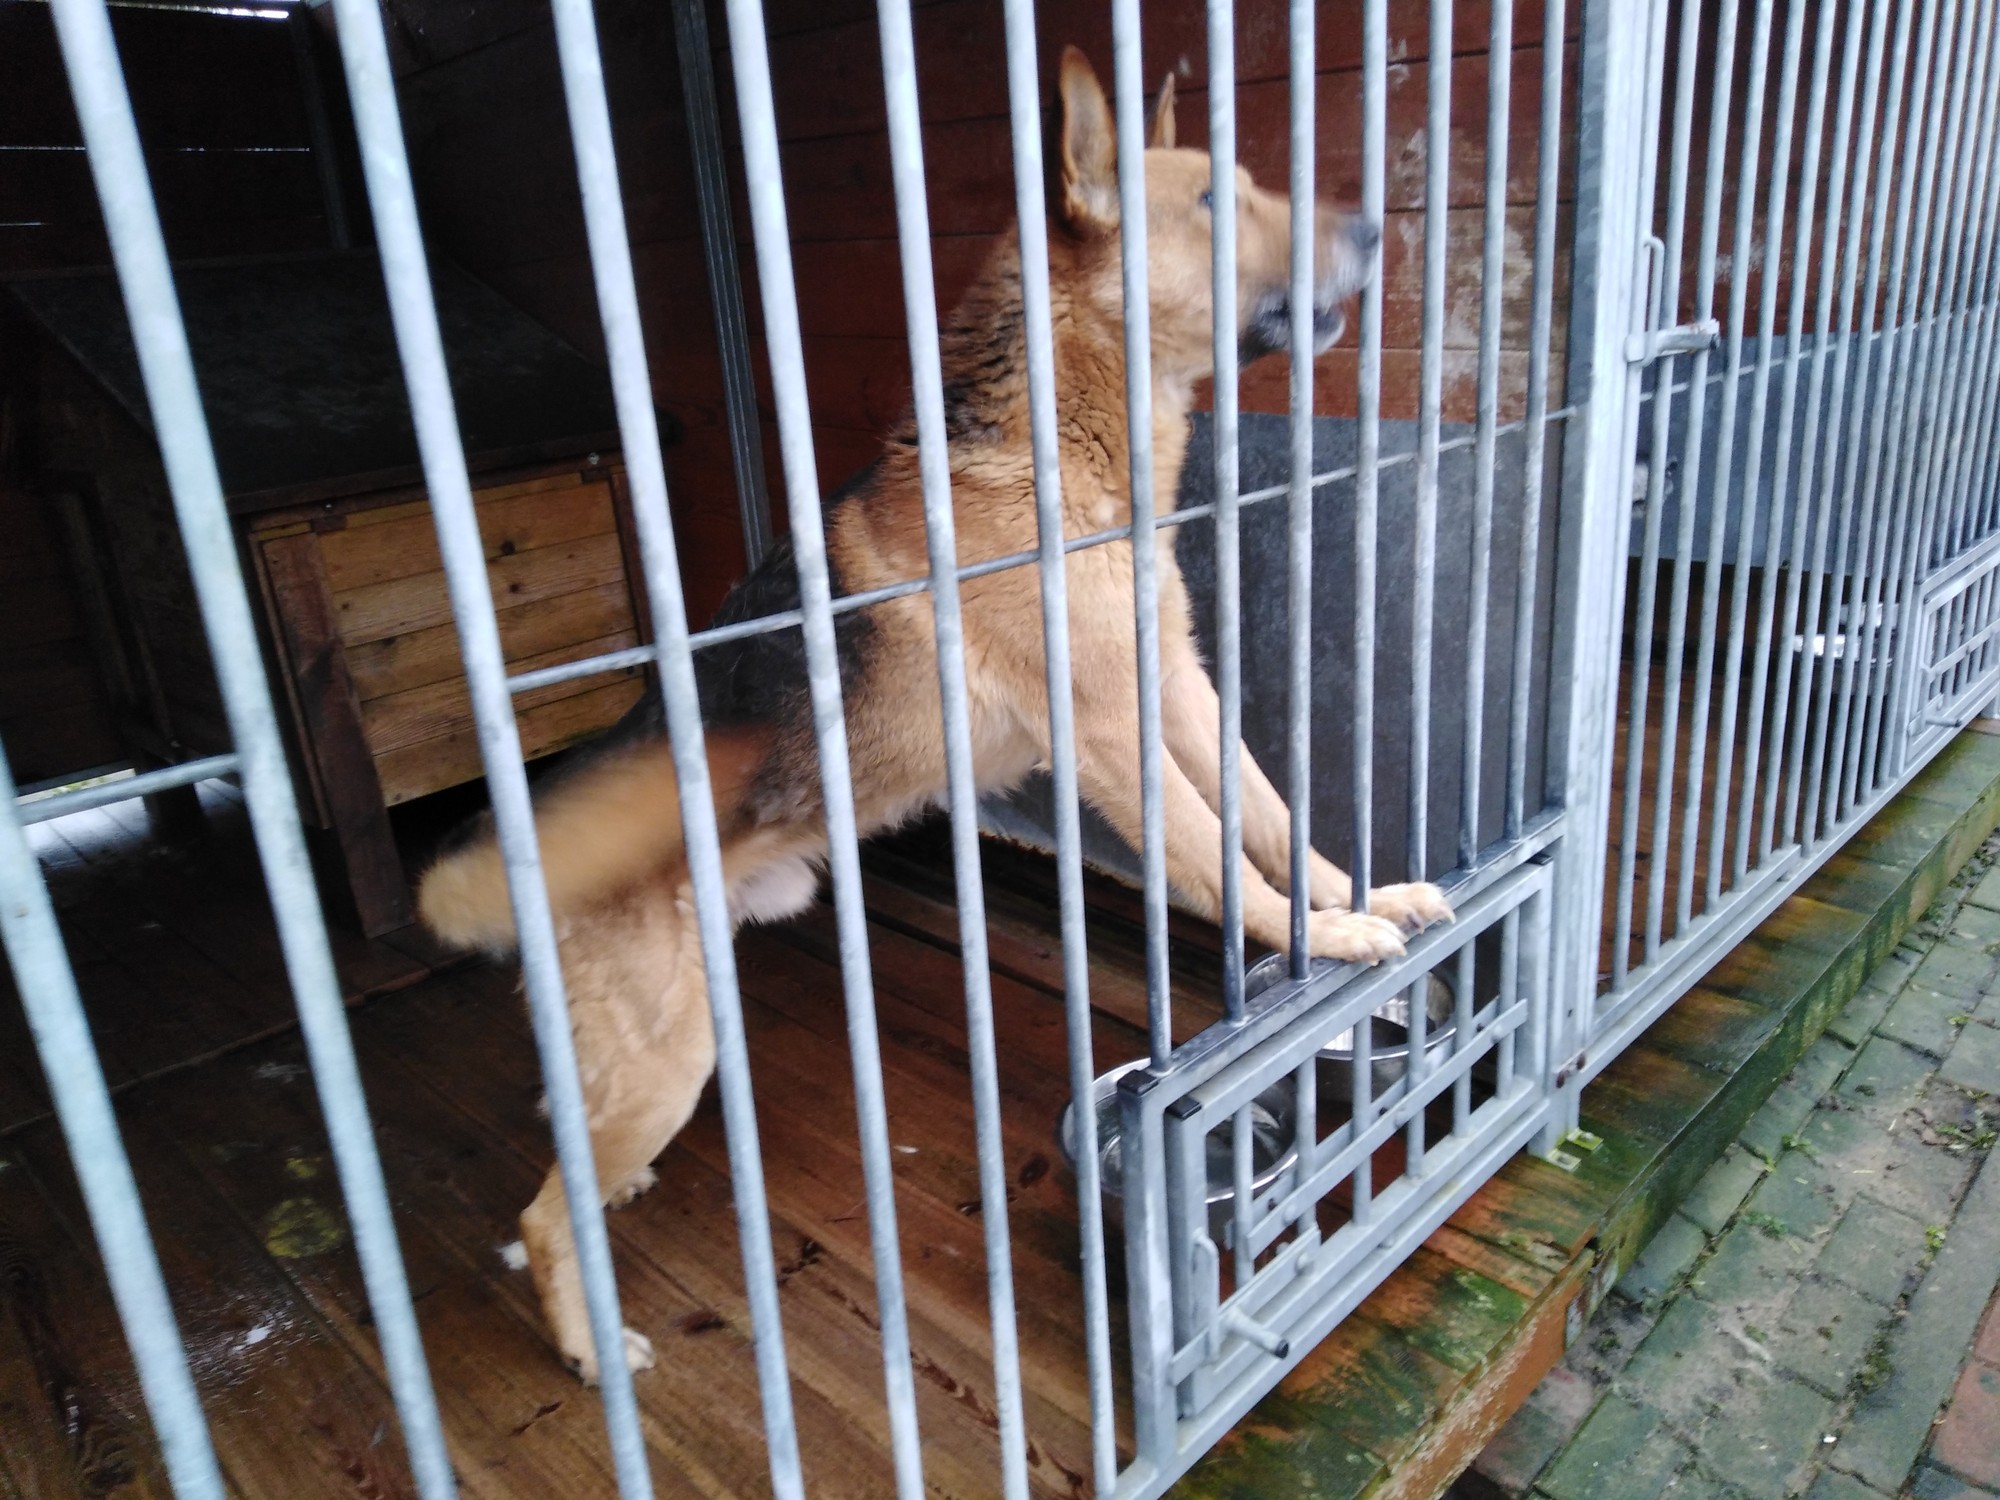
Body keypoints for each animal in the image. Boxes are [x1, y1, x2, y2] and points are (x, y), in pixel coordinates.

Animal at [417, 47, 1452, 1381]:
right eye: (1214, 202)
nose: (1378, 228)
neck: (1059, 451)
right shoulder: (1113, 732)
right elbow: (1212, 856)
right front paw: (1313, 938)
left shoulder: (1178, 685)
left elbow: (1273, 815)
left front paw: (1356, 901)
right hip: (669, 1060)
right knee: (541, 1218)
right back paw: (591, 1348)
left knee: (567, 1143)